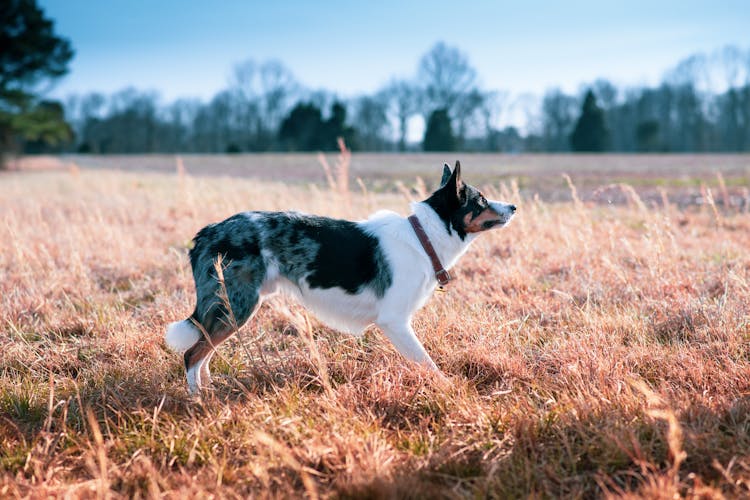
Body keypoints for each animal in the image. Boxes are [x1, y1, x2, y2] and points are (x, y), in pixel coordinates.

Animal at [164, 161, 516, 394]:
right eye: (481, 200)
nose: (513, 206)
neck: (423, 238)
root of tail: (207, 232)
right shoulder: (395, 322)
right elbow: (426, 362)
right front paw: (448, 387)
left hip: (228, 308)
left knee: (203, 351)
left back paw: (208, 389)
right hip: (236, 307)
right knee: (192, 354)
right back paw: (198, 400)